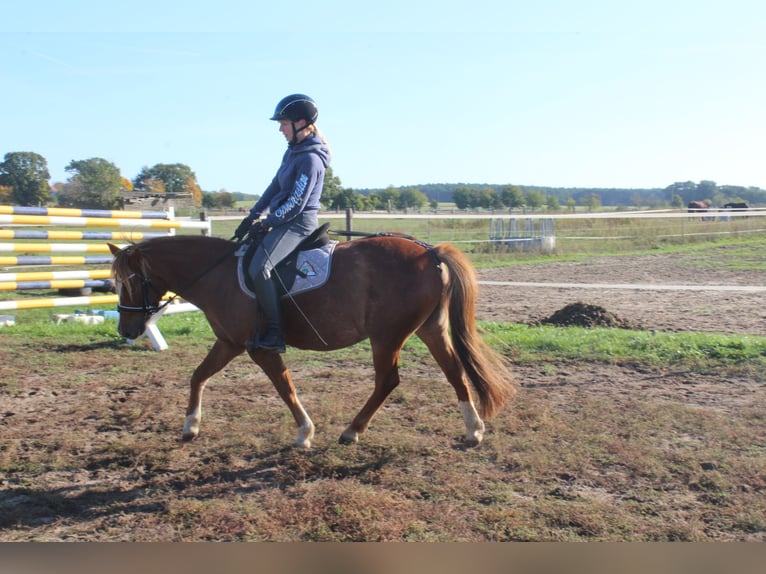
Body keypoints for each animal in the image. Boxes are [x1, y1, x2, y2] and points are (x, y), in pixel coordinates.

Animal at [106, 233, 516, 450]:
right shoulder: (228, 342)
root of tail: (429, 252)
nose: (126, 329)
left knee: (388, 381)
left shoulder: (258, 348)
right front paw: (190, 425)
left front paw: (304, 433)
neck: (217, 275)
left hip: (386, 336)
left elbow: (285, 387)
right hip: (430, 329)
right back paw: (473, 430)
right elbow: (197, 376)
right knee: (454, 372)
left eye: (130, 281)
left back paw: (352, 431)